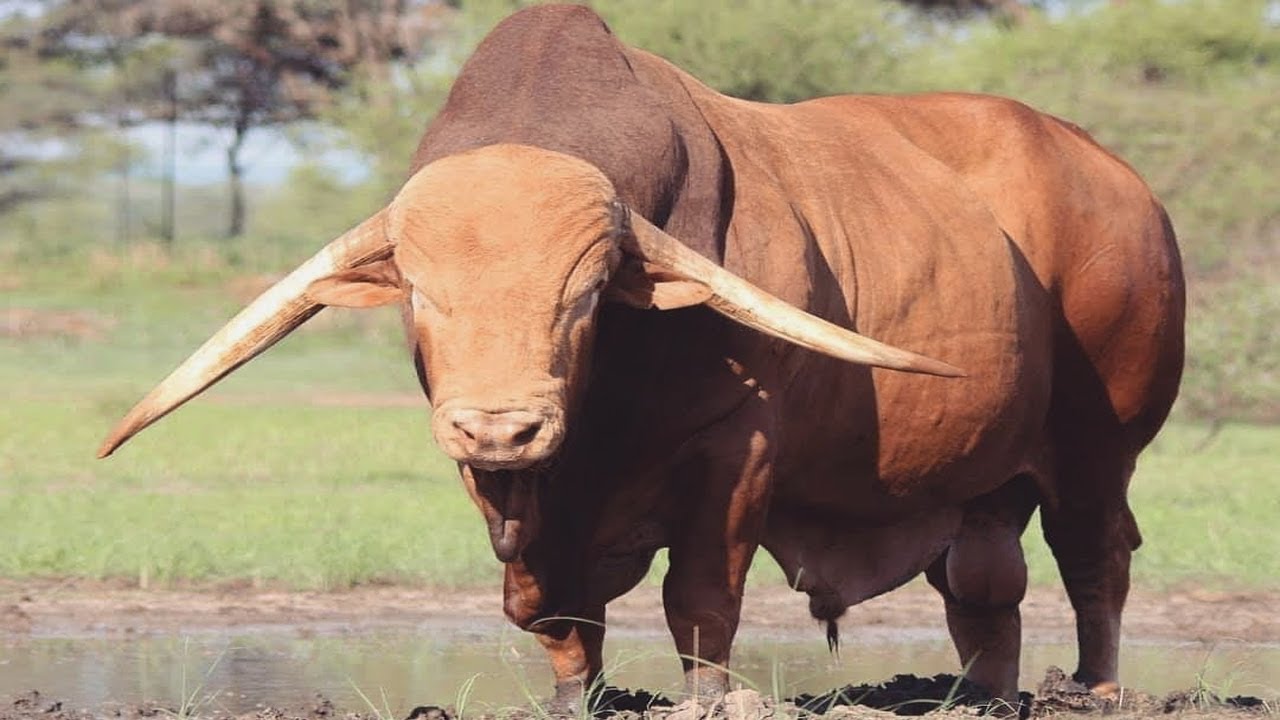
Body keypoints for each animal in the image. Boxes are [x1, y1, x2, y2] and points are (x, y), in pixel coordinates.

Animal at [98, 3, 1185, 711]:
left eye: (583, 296)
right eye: (422, 296)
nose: (501, 426)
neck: (590, 435)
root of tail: (1112, 173)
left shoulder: (738, 451)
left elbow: (699, 601)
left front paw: (707, 699)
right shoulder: (510, 503)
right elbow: (555, 618)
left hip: (1100, 446)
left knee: (1093, 565)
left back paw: (1095, 689)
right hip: (982, 479)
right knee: (984, 589)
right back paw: (980, 696)